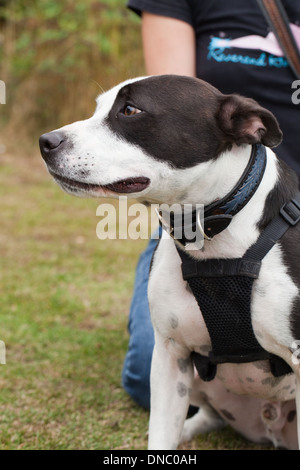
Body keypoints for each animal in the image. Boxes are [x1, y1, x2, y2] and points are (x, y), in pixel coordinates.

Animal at [39, 75, 300, 450]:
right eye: (98, 107)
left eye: (130, 110)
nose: (46, 141)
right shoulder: (170, 357)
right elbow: (162, 432)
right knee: (206, 417)